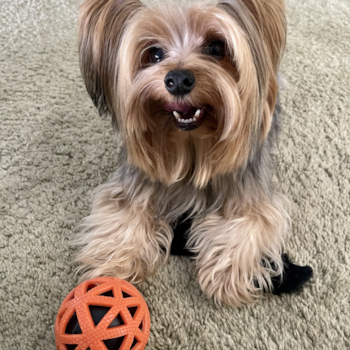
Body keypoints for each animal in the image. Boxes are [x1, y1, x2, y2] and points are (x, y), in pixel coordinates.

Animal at [75, 0, 314, 304]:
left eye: (216, 48)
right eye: (154, 53)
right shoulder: (135, 184)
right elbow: (123, 215)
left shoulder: (250, 194)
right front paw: (114, 265)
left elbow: (247, 224)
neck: (190, 146)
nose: (178, 79)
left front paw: (224, 275)